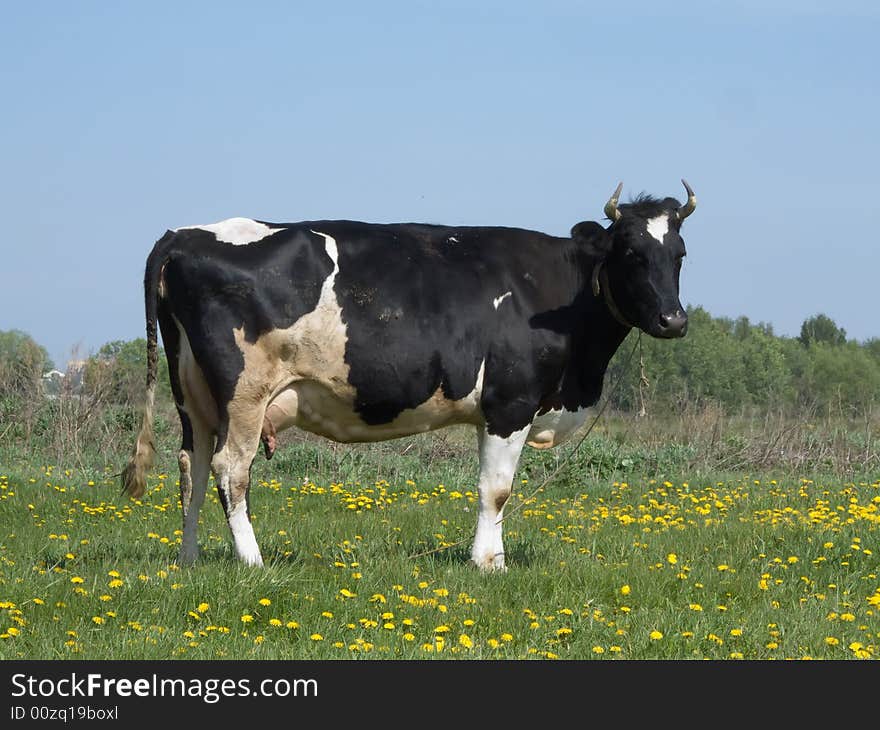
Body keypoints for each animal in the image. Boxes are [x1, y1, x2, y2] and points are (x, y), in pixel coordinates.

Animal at [124, 181, 696, 568]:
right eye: (630, 252)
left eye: (680, 254)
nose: (673, 320)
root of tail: (183, 234)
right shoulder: (510, 404)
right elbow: (497, 489)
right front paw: (489, 564)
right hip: (244, 393)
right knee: (229, 470)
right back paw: (253, 562)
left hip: (192, 393)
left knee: (192, 466)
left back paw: (190, 560)